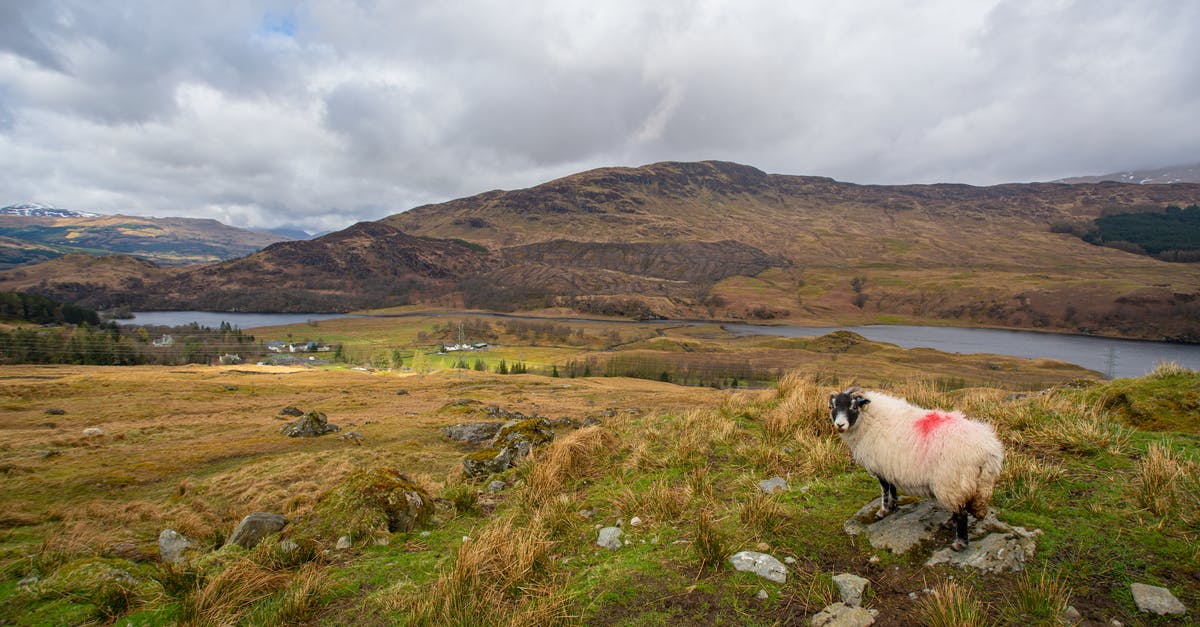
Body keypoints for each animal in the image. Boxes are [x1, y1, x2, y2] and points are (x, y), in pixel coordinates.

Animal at [825, 381, 1003, 550]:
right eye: (832, 407)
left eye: (853, 406)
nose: (840, 425)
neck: (868, 421)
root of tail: (989, 450)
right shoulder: (889, 465)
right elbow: (892, 487)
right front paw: (893, 504)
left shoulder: (880, 465)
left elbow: (884, 490)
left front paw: (882, 511)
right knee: (959, 508)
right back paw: (949, 523)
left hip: (952, 481)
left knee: (962, 512)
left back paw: (959, 543)